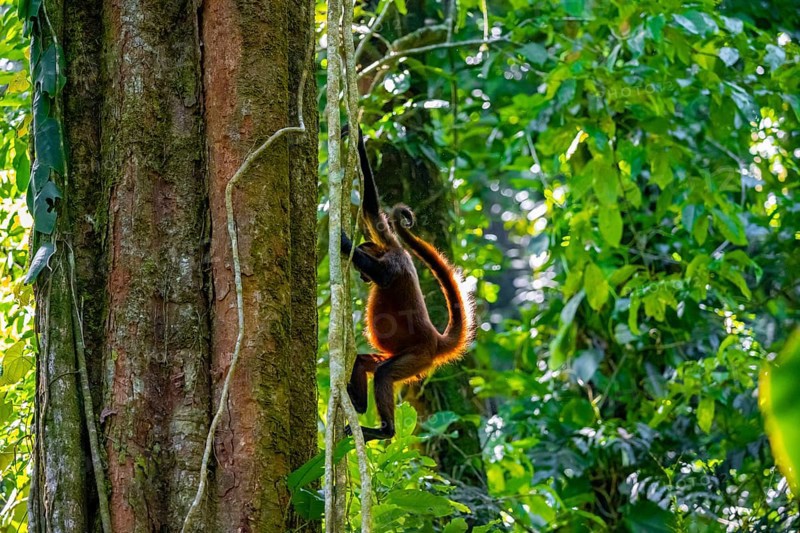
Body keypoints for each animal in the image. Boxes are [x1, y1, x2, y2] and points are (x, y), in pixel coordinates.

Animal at [339, 125, 475, 442]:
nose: (362, 278)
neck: (389, 250)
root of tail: (435, 340)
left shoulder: (396, 260)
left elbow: (382, 271)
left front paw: (343, 242)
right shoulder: (390, 245)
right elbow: (372, 212)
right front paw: (356, 134)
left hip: (416, 357)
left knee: (384, 374)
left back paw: (383, 430)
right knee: (365, 362)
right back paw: (358, 404)